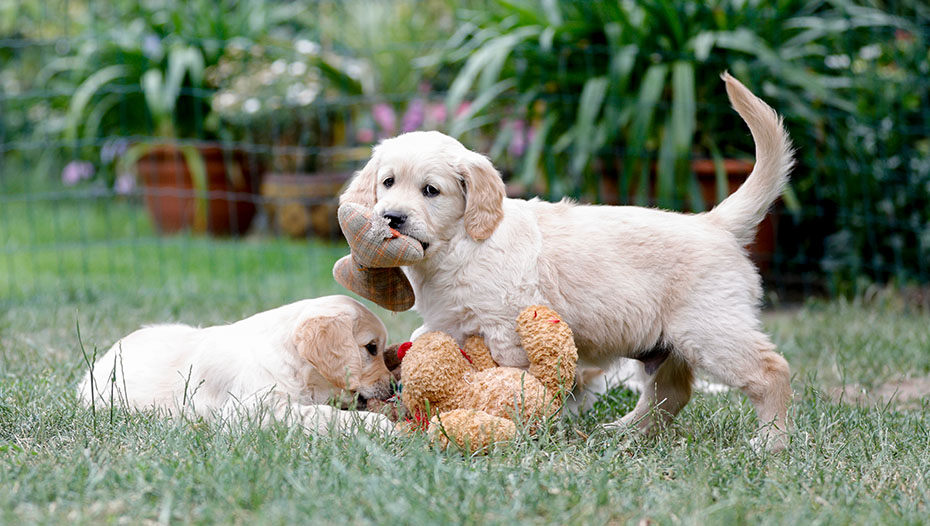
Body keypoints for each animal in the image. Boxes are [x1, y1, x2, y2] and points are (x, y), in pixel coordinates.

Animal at [338, 73, 792, 454]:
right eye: (387, 182)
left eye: (430, 191)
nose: (391, 218)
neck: (461, 247)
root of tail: (714, 223)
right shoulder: (446, 321)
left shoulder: (504, 329)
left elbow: (509, 377)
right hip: (666, 343)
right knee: (671, 392)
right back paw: (626, 431)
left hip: (710, 329)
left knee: (771, 371)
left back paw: (771, 442)